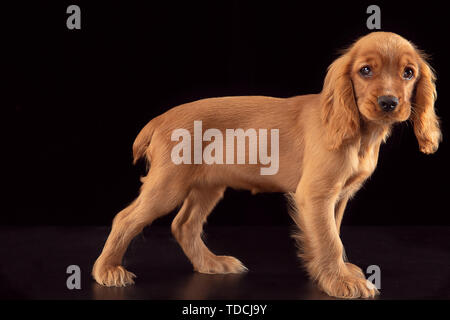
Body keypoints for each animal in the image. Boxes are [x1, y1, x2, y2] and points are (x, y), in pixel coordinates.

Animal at [91, 31, 440, 298]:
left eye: (408, 73)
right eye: (365, 71)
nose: (389, 103)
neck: (360, 133)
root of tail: (160, 120)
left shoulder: (338, 196)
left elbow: (333, 232)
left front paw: (335, 272)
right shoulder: (315, 194)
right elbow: (329, 239)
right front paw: (340, 280)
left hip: (208, 185)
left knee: (184, 224)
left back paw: (212, 264)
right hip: (168, 185)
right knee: (126, 218)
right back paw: (108, 270)